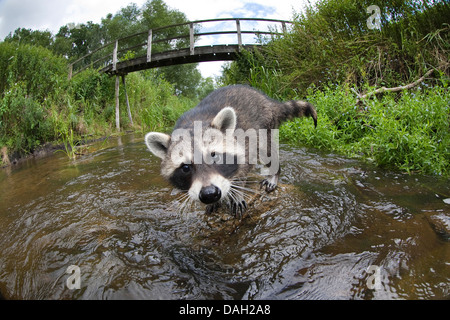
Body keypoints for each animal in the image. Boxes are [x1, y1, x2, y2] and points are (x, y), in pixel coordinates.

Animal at [145, 85, 316, 218]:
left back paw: (273, 174)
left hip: (264, 126)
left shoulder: (245, 143)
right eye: (185, 167)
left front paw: (237, 190)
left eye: (215, 157)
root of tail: (267, 100)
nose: (209, 193)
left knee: (267, 151)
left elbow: (242, 169)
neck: (192, 125)